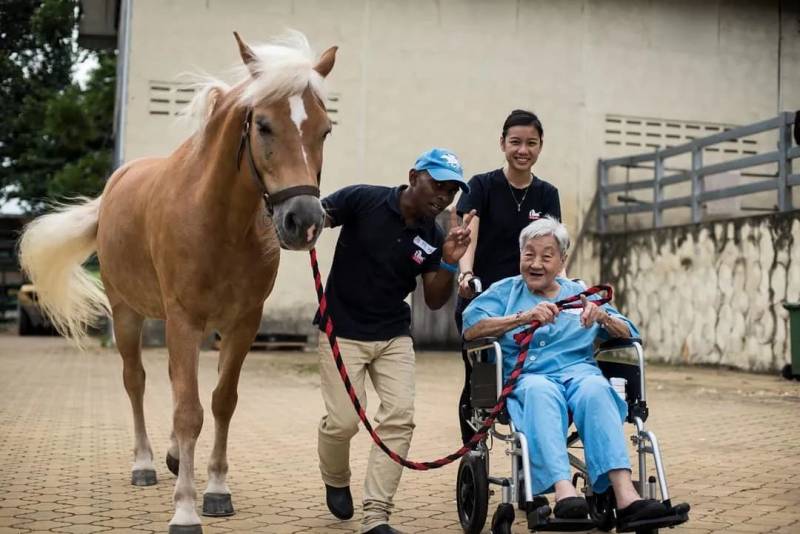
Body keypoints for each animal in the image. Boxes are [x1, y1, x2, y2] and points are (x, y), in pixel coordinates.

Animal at [18, 31, 338, 532]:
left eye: (324, 130)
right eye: (264, 125)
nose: (303, 222)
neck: (220, 219)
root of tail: (114, 187)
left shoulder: (242, 324)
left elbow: (222, 401)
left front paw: (217, 490)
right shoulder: (183, 320)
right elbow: (189, 411)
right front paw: (185, 508)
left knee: (173, 382)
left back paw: (170, 458)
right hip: (128, 315)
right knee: (136, 381)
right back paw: (146, 463)